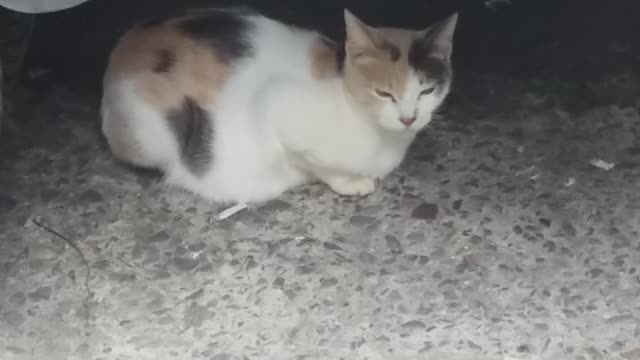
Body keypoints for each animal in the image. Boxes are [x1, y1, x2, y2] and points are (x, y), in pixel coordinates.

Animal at [100, 8, 458, 204]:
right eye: (384, 93)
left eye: (427, 90)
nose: (409, 118)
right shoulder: (275, 104)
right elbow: (316, 163)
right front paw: (350, 182)